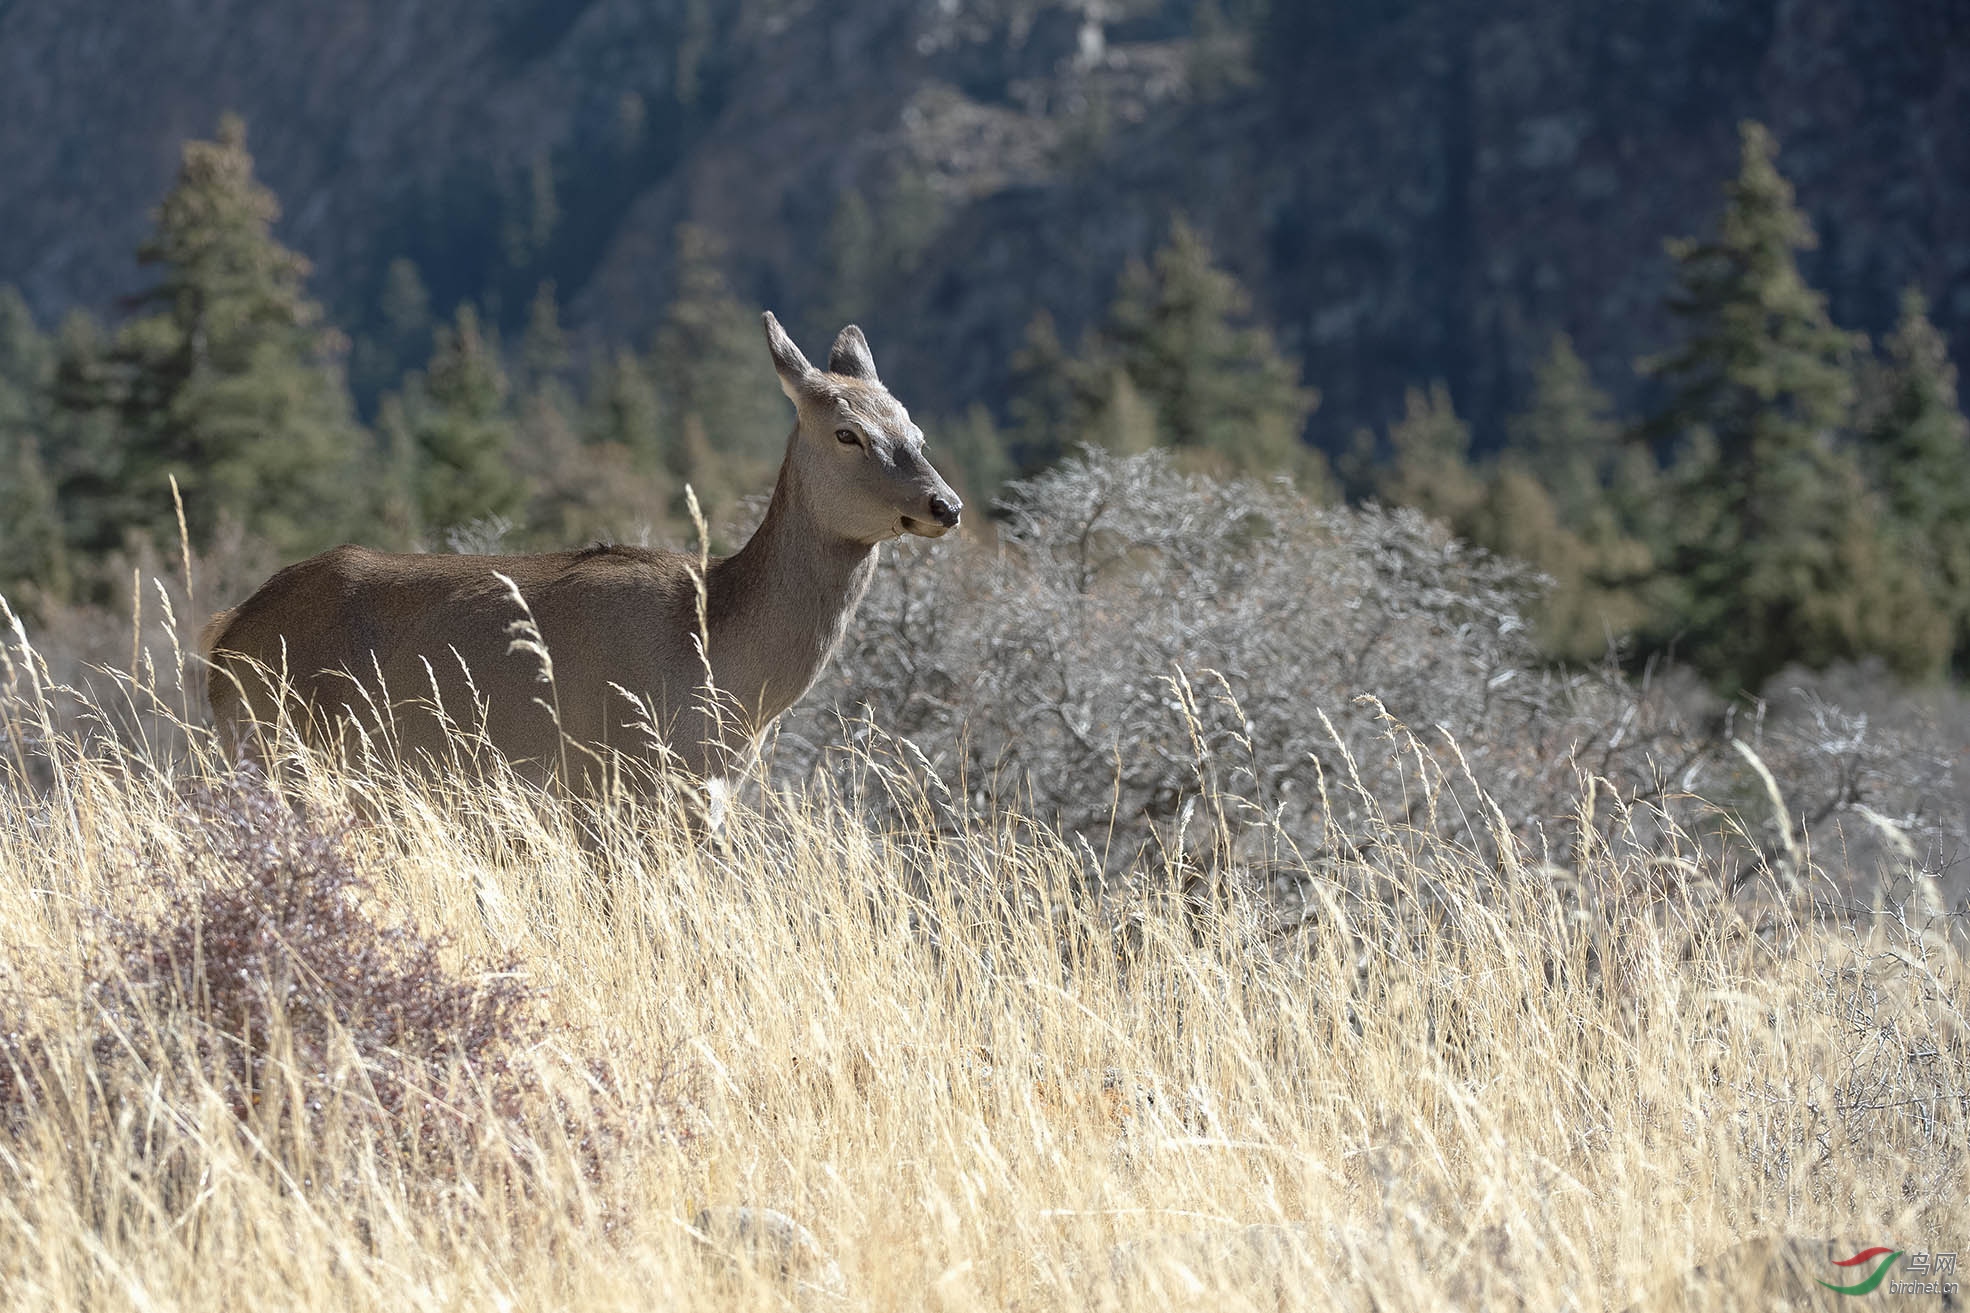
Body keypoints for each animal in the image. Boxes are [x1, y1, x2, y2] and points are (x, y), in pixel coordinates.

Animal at [201, 311, 961, 812]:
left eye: (916, 429)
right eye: (847, 433)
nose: (946, 504)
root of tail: (223, 638)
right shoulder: (615, 779)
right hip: (276, 749)